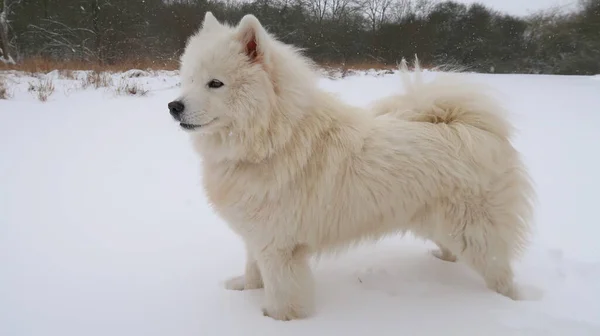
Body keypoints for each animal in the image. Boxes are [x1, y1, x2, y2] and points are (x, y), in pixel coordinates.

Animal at [168, 11, 536, 320]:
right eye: (188, 79)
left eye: (215, 83)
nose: (173, 106)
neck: (272, 138)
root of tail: (473, 128)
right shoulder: (256, 234)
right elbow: (252, 269)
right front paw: (244, 290)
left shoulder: (280, 246)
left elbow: (281, 292)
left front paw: (274, 319)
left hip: (477, 235)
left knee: (501, 273)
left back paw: (510, 303)